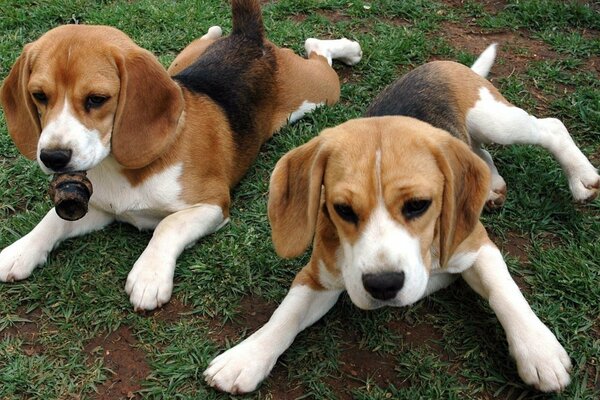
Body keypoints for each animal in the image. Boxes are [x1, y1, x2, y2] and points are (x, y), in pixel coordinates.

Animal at [0, 0, 360, 312]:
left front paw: (149, 275)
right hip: (180, 63)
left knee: (318, 51)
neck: (120, 168)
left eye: (96, 99)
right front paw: (20, 251)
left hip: (318, 92)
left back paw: (347, 48)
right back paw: (214, 31)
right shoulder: (101, 209)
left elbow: (167, 224)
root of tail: (248, 38)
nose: (53, 157)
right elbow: (52, 220)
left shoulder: (212, 204)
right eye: (39, 95)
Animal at [202, 43, 596, 394]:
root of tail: (443, 64)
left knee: (549, 127)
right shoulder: (318, 275)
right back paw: (493, 184)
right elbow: (286, 315)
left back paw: (581, 177)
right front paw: (247, 357)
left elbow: (504, 291)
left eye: (419, 205)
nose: (383, 285)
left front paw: (539, 351)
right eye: (342, 209)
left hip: (495, 120)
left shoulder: (476, 245)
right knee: (479, 154)